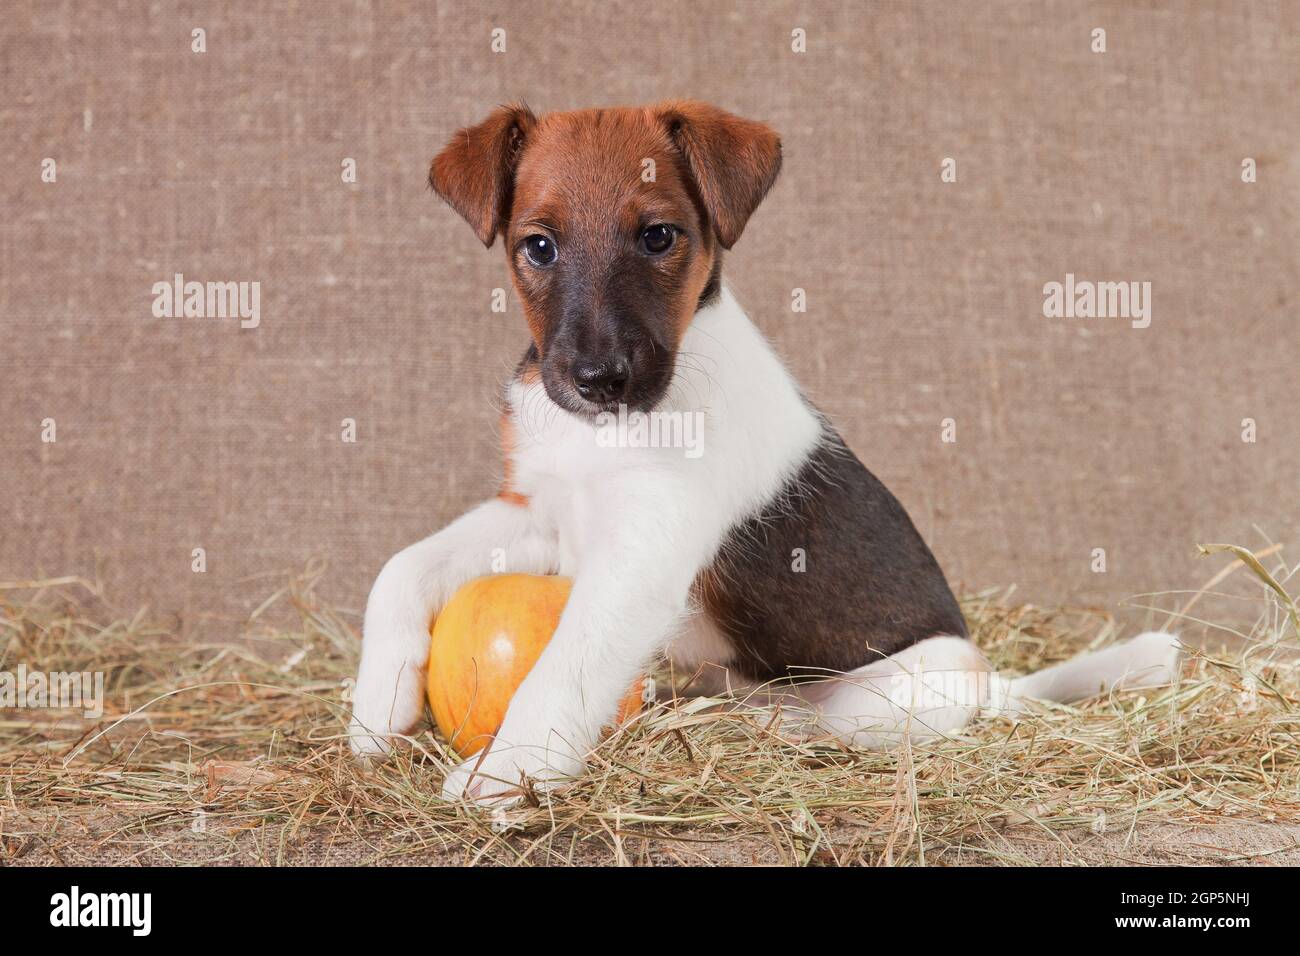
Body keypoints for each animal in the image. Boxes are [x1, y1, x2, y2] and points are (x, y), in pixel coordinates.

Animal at [345, 100, 1180, 806]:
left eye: (658, 236)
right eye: (538, 247)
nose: (598, 380)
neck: (611, 432)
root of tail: (991, 683)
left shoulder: (640, 562)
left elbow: (563, 667)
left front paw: (510, 769)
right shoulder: (539, 515)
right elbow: (401, 568)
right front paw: (379, 705)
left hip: (875, 699)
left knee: (802, 722)